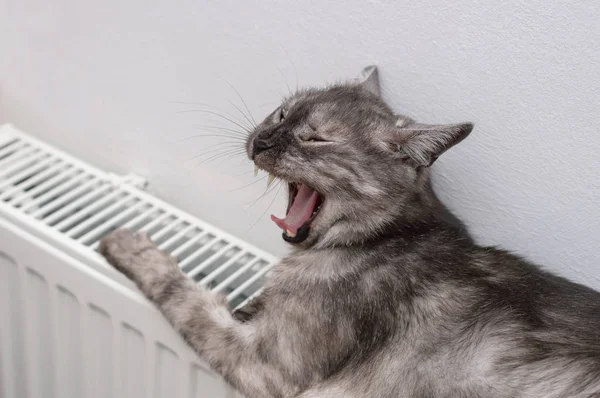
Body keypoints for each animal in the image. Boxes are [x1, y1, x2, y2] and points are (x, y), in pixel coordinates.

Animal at [99, 67, 600, 396]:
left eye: (316, 138)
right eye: (281, 113)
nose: (262, 140)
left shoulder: (265, 364)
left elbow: (186, 297)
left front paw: (130, 245)